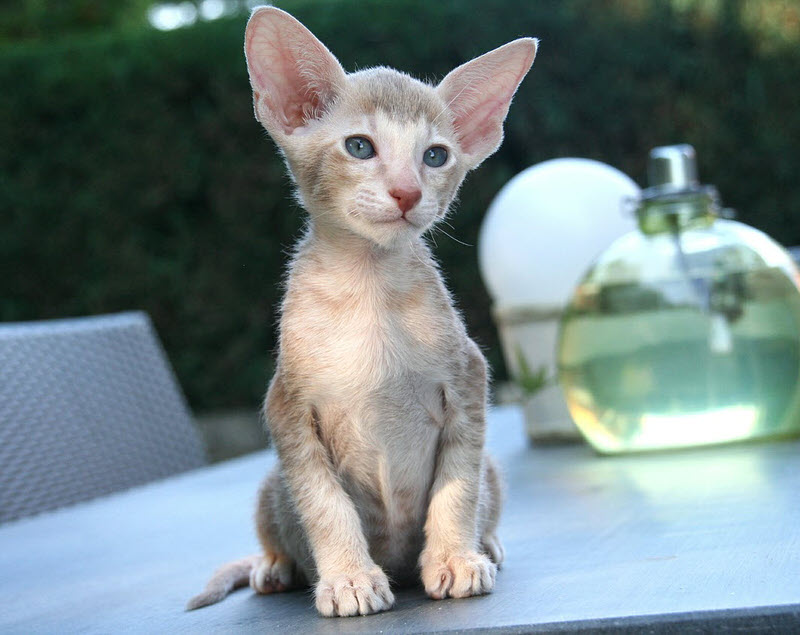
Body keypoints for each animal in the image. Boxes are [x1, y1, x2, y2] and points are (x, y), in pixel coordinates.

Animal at [188, 4, 536, 620]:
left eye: (436, 156)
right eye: (359, 147)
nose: (406, 192)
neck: (370, 290)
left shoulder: (468, 381)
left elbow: (459, 483)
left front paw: (454, 556)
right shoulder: (287, 407)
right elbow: (325, 504)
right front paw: (348, 576)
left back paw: (486, 541)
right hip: (270, 483)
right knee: (276, 524)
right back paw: (274, 567)